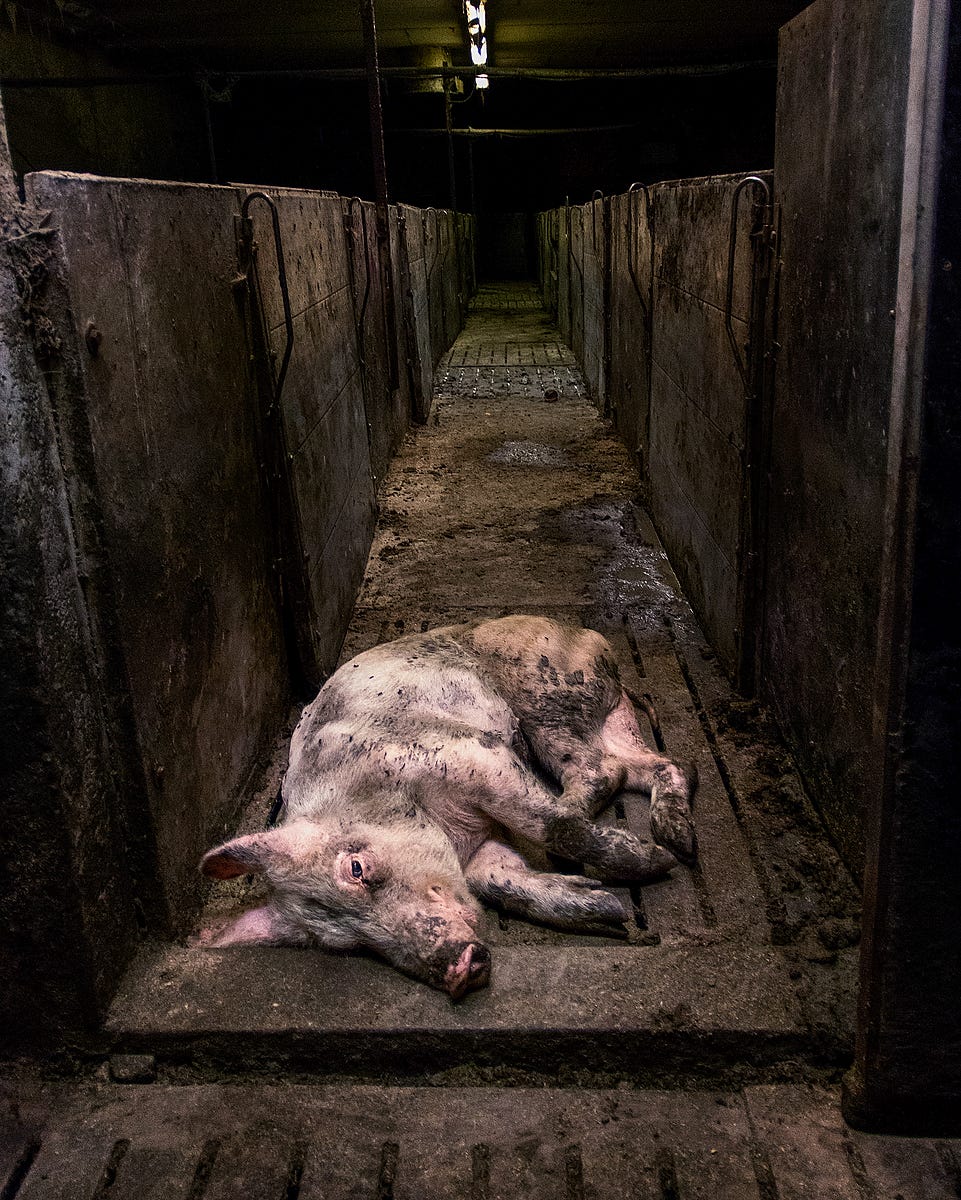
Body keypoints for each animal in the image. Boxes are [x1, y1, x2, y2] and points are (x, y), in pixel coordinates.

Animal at [199, 614, 695, 998]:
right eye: (352, 944)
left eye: (356, 868)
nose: (455, 969)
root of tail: (589, 637)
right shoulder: (480, 853)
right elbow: (507, 884)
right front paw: (609, 908)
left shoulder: (471, 755)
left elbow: (549, 824)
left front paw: (656, 866)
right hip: (608, 721)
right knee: (659, 764)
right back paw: (678, 838)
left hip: (544, 696)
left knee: (598, 770)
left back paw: (663, 850)